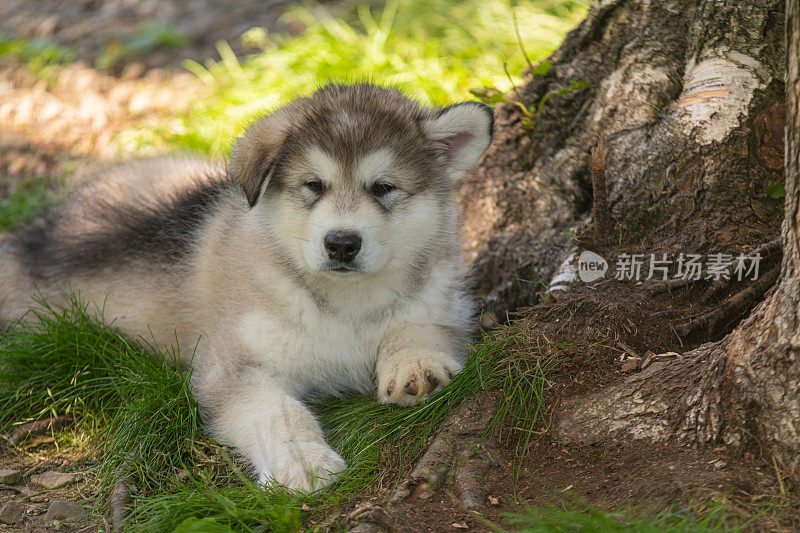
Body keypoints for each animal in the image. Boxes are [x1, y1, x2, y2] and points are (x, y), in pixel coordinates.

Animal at [0, 84, 494, 490]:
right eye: (313, 185)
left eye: (383, 187)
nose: (341, 244)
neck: (344, 303)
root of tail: (39, 230)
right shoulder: (232, 368)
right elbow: (279, 412)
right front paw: (304, 463)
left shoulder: (443, 300)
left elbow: (416, 325)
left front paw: (416, 365)